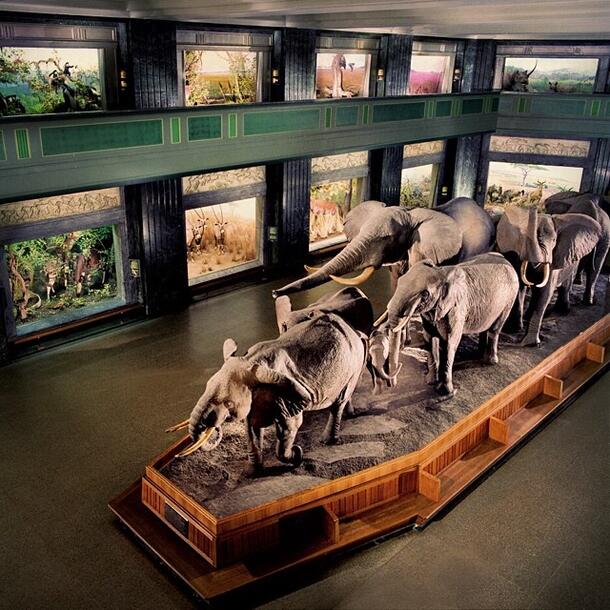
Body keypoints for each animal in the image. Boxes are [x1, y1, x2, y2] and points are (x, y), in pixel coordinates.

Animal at [166, 312, 366, 472]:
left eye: (228, 403)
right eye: (206, 387)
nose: (213, 425)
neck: (250, 360)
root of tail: (355, 331)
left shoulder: (286, 394)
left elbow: (290, 427)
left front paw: (296, 454)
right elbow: (252, 430)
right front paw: (254, 471)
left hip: (354, 364)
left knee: (339, 402)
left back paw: (327, 441)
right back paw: (350, 414)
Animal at [378, 251, 516, 394]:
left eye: (425, 295)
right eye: (400, 282)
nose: (392, 385)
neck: (441, 272)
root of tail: (505, 259)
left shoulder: (456, 308)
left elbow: (449, 343)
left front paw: (446, 392)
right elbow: (429, 339)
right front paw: (430, 382)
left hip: (509, 300)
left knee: (495, 329)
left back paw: (490, 361)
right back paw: (480, 354)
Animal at [496, 205, 600, 344]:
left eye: (554, 240)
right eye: (523, 239)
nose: (534, 207)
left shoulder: (554, 258)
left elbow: (544, 292)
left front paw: (531, 343)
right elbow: (519, 286)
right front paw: (513, 330)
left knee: (566, 284)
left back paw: (562, 311)